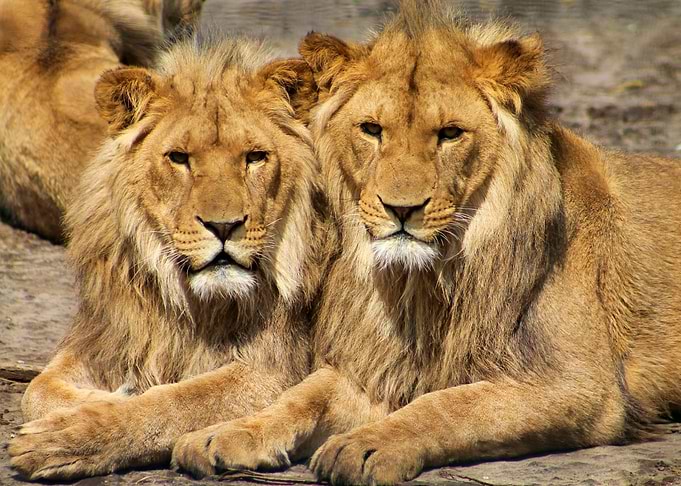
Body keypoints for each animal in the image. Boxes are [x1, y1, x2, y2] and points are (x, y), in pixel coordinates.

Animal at [8, 35, 325, 480]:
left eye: (255, 157)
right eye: (179, 158)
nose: (224, 226)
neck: (191, 299)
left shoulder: (273, 370)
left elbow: (174, 401)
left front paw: (69, 435)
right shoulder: (113, 334)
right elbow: (37, 391)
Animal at [171, 1, 681, 484]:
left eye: (450, 133)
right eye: (371, 130)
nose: (402, 209)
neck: (424, 282)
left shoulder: (580, 385)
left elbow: (448, 405)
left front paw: (366, 446)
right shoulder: (381, 366)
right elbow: (303, 395)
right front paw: (227, 433)